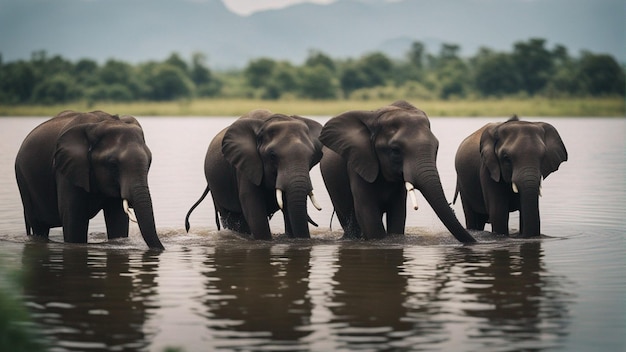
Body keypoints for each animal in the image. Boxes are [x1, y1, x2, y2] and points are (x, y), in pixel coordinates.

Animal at [14, 111, 163, 249]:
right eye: (113, 165)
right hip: (22, 178)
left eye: (149, 162)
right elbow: (74, 219)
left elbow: (117, 218)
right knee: (39, 226)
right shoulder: (66, 170)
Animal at [320, 99, 476, 242]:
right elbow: (367, 212)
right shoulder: (359, 164)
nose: (452, 208)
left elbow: (398, 212)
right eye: (395, 150)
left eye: (436, 148)